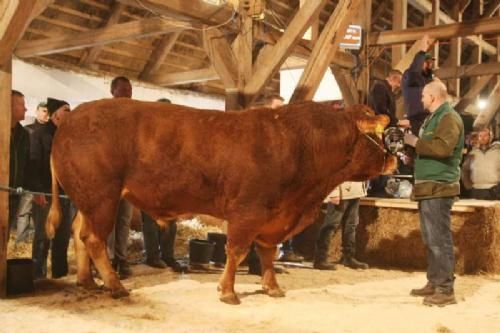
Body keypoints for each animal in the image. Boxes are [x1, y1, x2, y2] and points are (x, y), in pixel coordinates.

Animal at [47, 97, 398, 302]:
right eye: (379, 134)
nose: (394, 159)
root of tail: (70, 119)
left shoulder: (273, 217)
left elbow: (267, 253)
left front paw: (272, 287)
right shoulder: (248, 211)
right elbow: (237, 251)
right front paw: (228, 292)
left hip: (89, 199)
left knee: (79, 233)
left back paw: (87, 282)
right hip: (102, 197)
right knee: (94, 238)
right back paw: (115, 286)